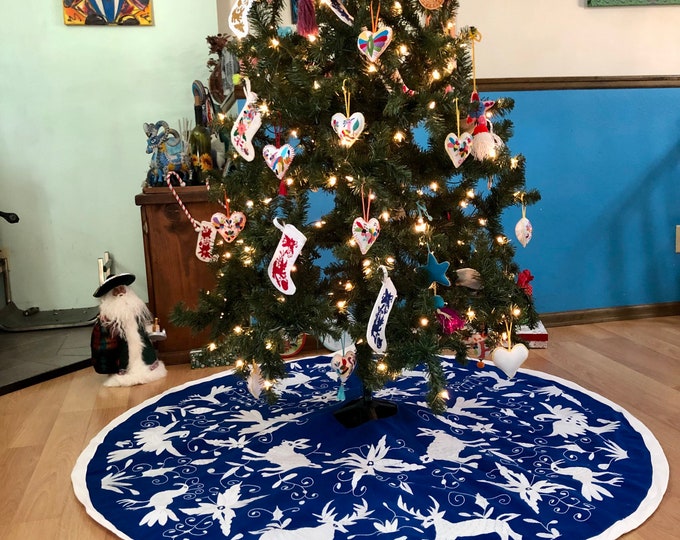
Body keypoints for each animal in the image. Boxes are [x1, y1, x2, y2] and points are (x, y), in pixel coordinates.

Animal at [396, 496, 524, 536]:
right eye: (424, 520)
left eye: (431, 520)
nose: (422, 526)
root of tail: (501, 520)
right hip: (506, 529)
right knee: (517, 535)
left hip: (502, 531)